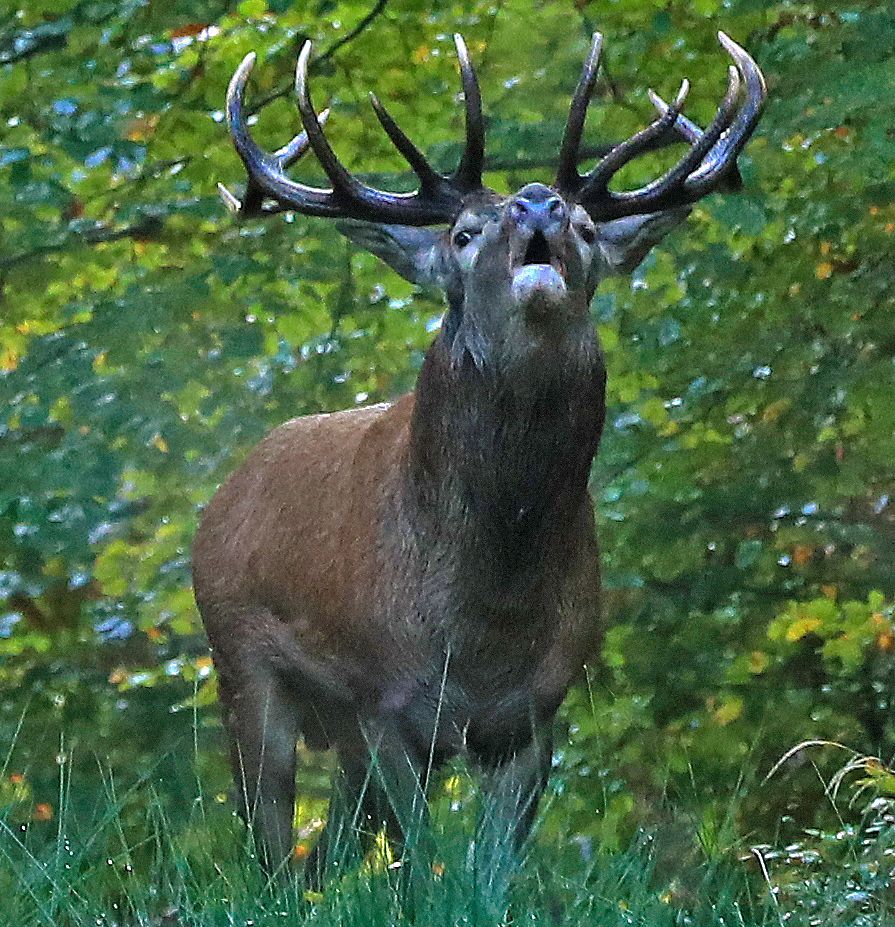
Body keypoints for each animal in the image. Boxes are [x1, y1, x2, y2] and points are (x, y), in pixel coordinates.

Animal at [193, 31, 765, 889]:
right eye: (462, 234)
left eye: (588, 229)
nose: (536, 201)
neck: (486, 615)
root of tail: (221, 497)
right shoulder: (381, 697)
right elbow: (419, 865)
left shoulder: (535, 711)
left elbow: (492, 872)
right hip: (241, 666)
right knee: (267, 841)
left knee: (327, 846)